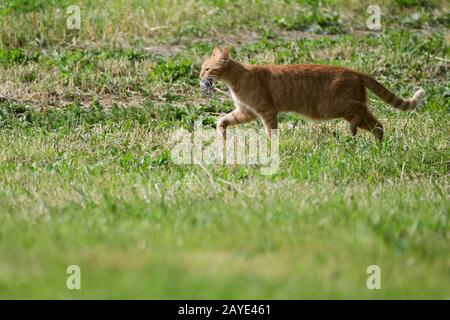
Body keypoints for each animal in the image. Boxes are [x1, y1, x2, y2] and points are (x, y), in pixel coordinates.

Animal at [200, 46, 426, 141]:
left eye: (207, 69)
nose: (199, 75)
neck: (236, 80)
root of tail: (354, 71)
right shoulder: (246, 112)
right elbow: (223, 119)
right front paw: (221, 133)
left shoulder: (266, 111)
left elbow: (271, 131)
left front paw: (272, 146)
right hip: (346, 110)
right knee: (377, 125)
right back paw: (377, 145)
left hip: (333, 106)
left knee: (360, 110)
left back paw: (353, 130)